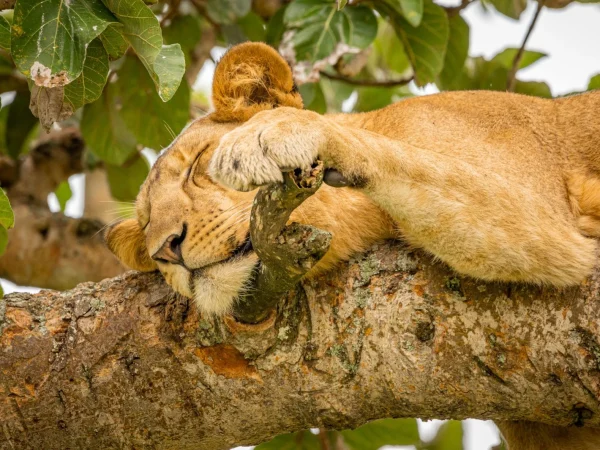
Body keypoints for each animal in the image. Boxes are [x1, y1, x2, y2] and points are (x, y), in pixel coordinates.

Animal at [105, 41, 600, 446]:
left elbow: (397, 153)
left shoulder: (549, 223)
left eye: (197, 166)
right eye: (146, 225)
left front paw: (273, 134)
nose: (165, 249)